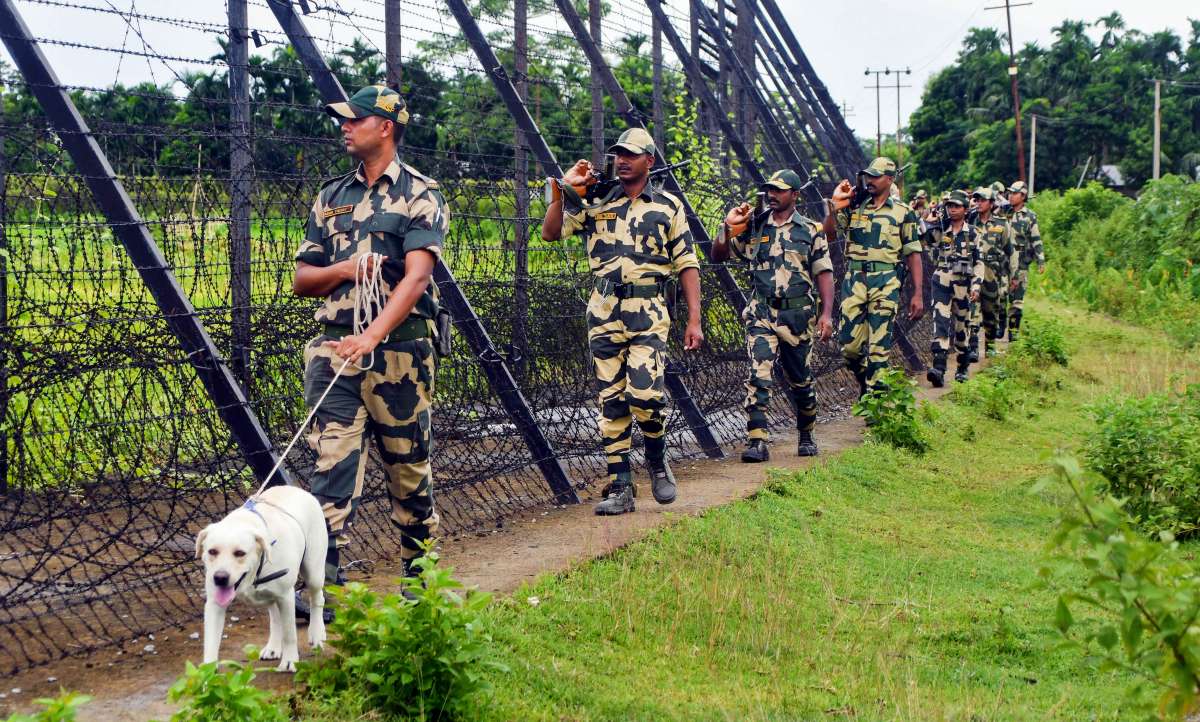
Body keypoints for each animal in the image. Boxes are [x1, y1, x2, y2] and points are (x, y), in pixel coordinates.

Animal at [195, 484, 328, 666]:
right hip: (272, 595)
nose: (220, 578)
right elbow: (210, 645)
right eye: (212, 551)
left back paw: (316, 633)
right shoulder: (215, 604)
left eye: (240, 553)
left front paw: (290, 661)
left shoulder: (286, 596)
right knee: (275, 617)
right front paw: (207, 672)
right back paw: (273, 647)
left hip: (313, 572)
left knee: (317, 599)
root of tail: (295, 488)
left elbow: (290, 634)